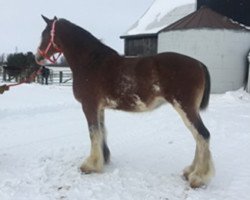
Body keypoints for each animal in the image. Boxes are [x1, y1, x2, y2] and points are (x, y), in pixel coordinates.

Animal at [35, 15, 215, 188]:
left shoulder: (89, 106)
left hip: (185, 108)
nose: (37, 57)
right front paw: (104, 158)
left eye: (45, 34)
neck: (92, 62)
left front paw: (90, 166)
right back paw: (190, 171)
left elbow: (93, 133)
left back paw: (198, 177)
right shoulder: (99, 108)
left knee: (202, 135)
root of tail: (199, 64)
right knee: (199, 137)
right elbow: (102, 131)